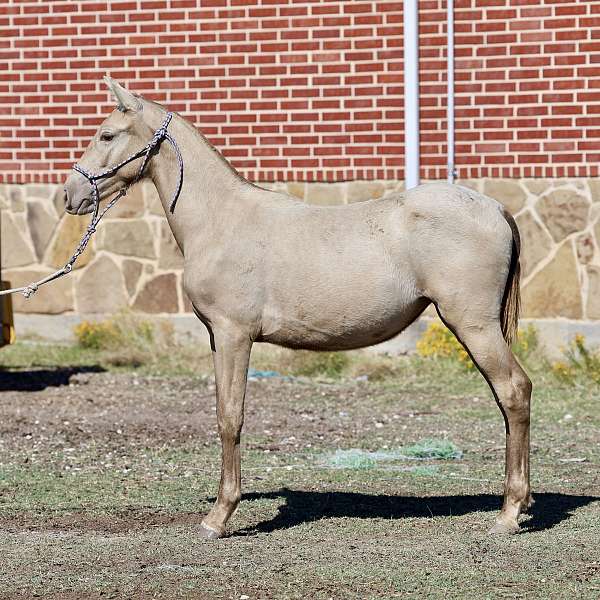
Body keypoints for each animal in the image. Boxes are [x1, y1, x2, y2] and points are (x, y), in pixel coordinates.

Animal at [63, 77, 532, 540]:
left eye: (107, 135)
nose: (71, 195)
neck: (222, 220)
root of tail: (497, 209)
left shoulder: (234, 335)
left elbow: (230, 417)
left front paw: (218, 517)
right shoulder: (218, 338)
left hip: (474, 326)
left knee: (513, 391)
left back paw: (508, 514)